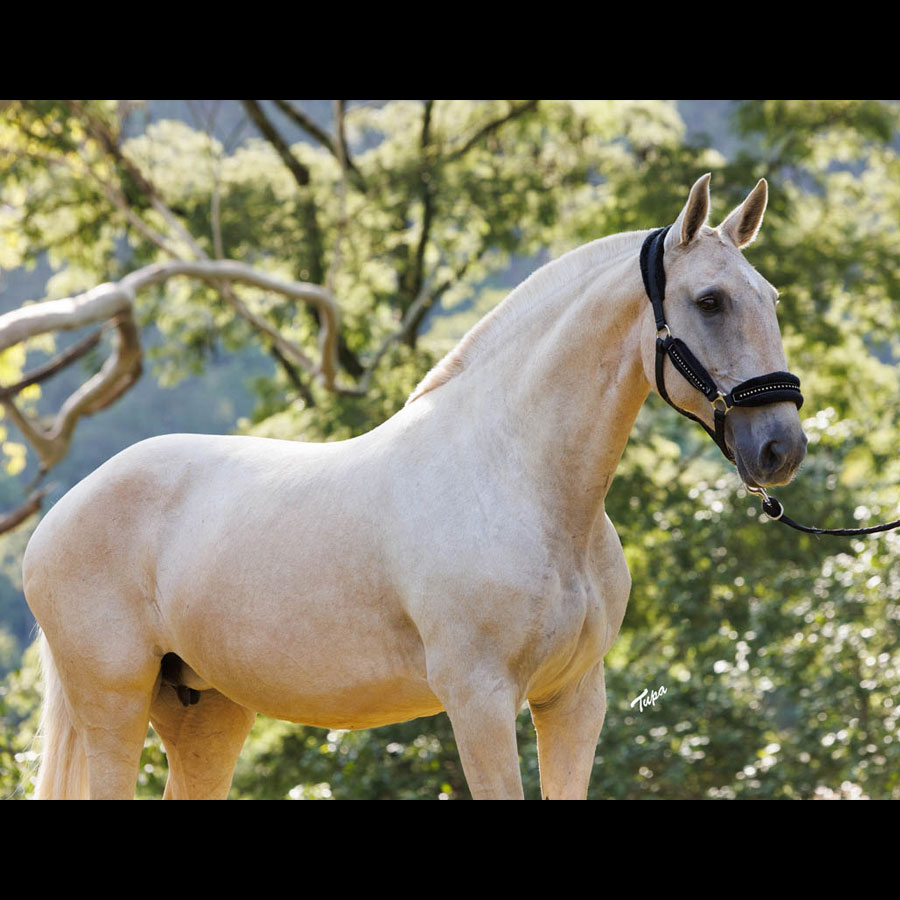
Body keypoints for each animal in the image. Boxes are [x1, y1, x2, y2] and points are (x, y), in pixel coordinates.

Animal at [23, 174, 807, 800]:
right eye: (710, 300)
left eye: (769, 297)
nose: (781, 447)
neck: (520, 482)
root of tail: (60, 514)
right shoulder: (480, 701)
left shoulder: (575, 700)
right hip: (114, 706)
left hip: (205, 712)